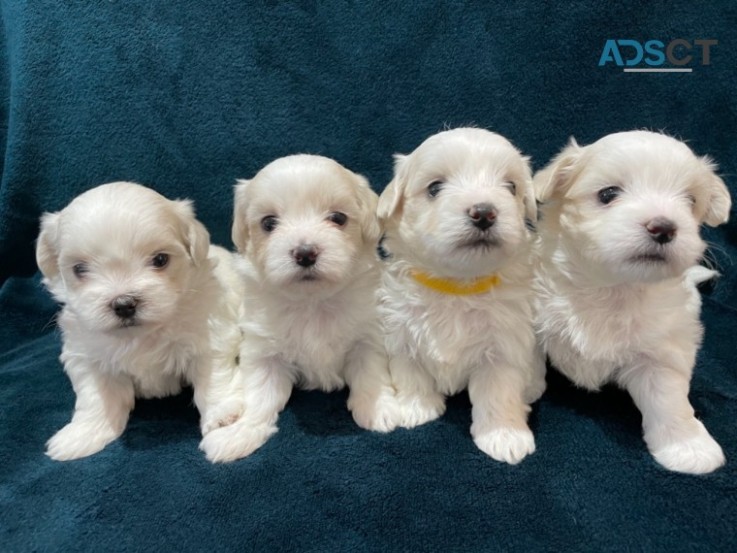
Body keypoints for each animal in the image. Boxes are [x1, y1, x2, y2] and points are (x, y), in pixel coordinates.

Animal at [36, 182, 244, 462]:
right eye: (79, 269)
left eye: (160, 260)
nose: (124, 303)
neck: (140, 335)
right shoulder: (87, 356)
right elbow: (97, 398)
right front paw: (83, 434)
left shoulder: (209, 337)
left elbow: (212, 379)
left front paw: (224, 416)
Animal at [198, 153, 400, 460]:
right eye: (269, 223)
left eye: (338, 218)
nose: (305, 253)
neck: (312, 302)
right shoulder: (264, 353)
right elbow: (260, 396)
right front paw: (240, 432)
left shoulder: (367, 337)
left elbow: (371, 375)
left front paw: (379, 409)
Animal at [380, 127, 548, 464]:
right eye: (434, 188)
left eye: (511, 187)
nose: (484, 212)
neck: (457, 285)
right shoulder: (402, 334)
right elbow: (411, 374)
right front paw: (415, 409)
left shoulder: (503, 349)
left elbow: (499, 393)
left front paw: (504, 435)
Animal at [536, 132, 732, 472]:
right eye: (608, 194)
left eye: (690, 201)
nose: (664, 227)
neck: (613, 288)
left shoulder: (661, 354)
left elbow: (668, 399)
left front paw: (688, 447)